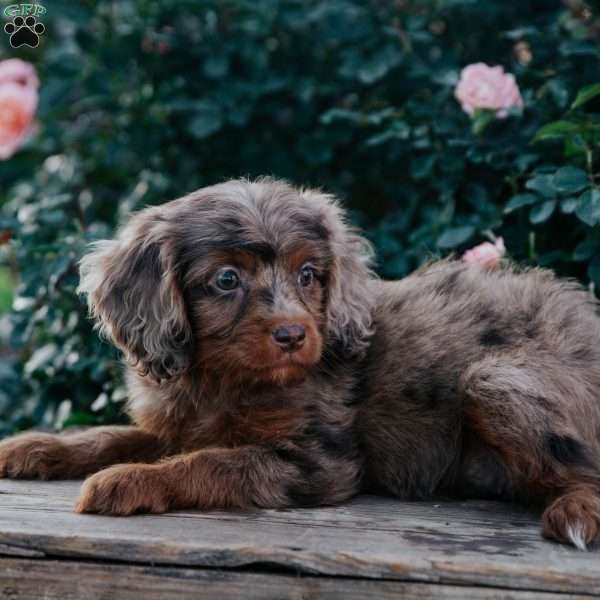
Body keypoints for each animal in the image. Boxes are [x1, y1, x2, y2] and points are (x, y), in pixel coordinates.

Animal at [1, 177, 600, 548]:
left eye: (309, 274)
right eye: (227, 280)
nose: (293, 334)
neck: (222, 379)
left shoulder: (317, 462)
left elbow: (210, 463)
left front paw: (128, 481)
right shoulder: (176, 426)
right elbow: (109, 435)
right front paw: (34, 448)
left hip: (492, 379)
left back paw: (575, 515)